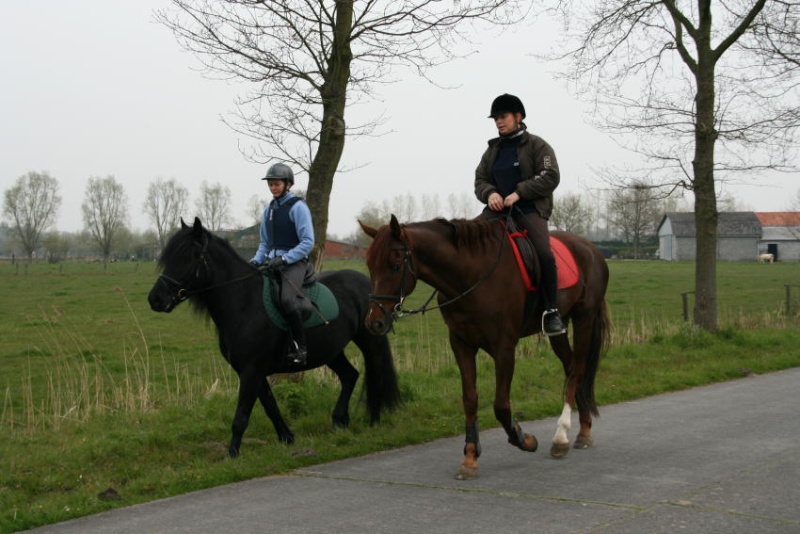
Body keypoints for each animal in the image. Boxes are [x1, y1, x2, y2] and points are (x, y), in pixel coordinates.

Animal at [147, 218, 400, 456]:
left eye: (189, 256)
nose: (155, 299)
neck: (244, 302)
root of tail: (369, 285)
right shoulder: (251, 371)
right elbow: (270, 406)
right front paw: (287, 438)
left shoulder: (251, 371)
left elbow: (241, 417)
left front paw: (232, 455)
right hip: (331, 350)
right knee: (350, 376)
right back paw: (339, 419)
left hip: (370, 342)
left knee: (374, 377)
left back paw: (373, 421)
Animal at [360, 217, 608, 482]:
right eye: (370, 265)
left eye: (395, 265)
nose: (374, 322)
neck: (471, 274)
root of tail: (592, 249)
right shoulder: (461, 344)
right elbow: (470, 399)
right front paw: (470, 457)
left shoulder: (504, 347)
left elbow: (500, 405)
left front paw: (524, 439)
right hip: (559, 331)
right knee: (571, 368)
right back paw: (583, 429)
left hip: (584, 318)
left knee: (577, 370)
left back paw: (561, 437)